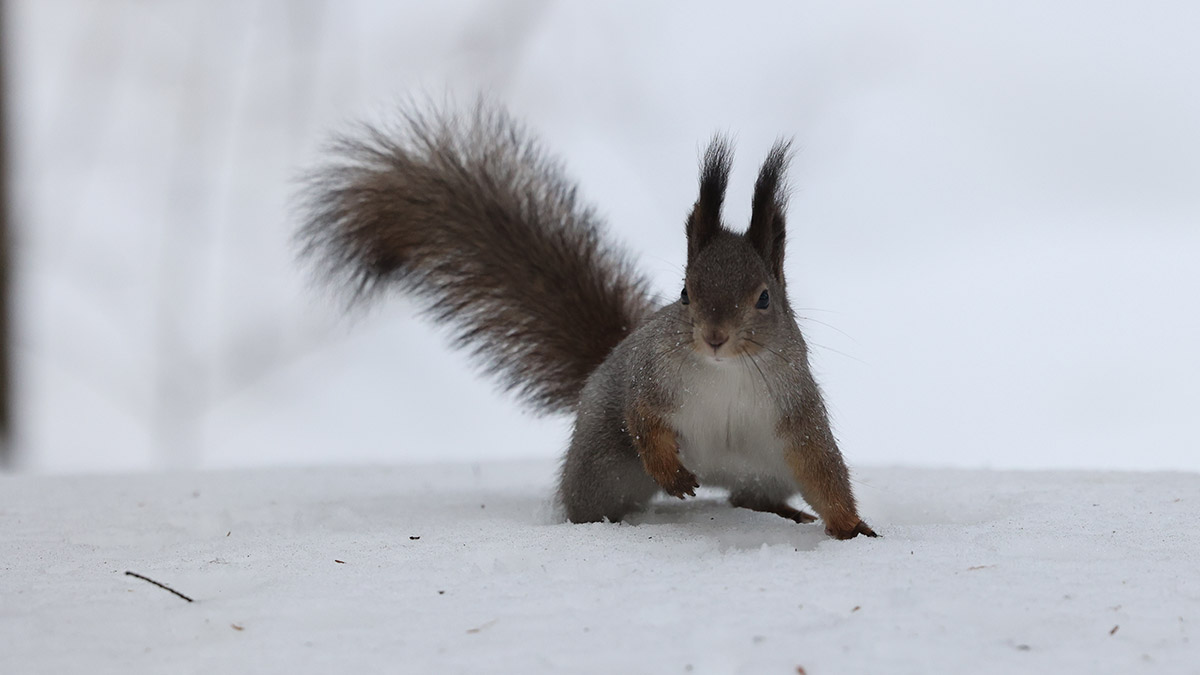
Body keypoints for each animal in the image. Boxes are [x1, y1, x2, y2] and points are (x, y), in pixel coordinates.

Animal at [297, 99, 883, 538]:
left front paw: (851, 527)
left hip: (765, 467)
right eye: (685, 294)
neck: (725, 372)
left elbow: (823, 470)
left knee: (749, 498)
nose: (714, 337)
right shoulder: (649, 376)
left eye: (764, 299)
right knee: (594, 497)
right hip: (604, 463)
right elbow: (642, 417)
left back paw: (784, 512)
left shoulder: (796, 410)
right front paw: (671, 472)